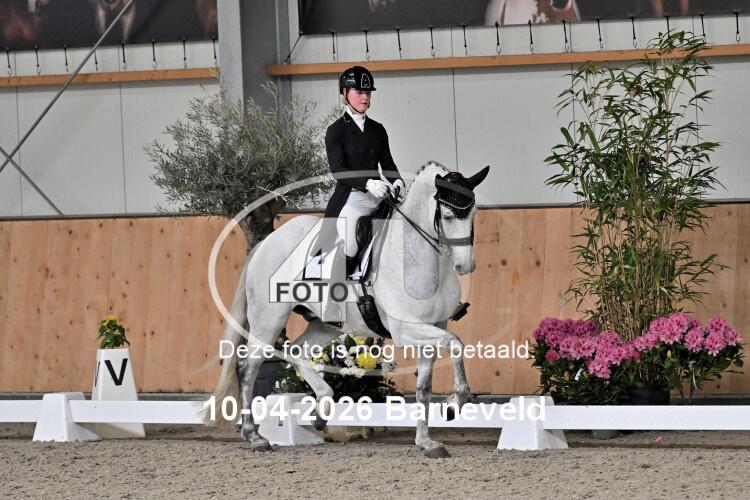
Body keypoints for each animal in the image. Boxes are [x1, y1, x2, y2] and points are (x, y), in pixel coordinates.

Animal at [206, 161, 490, 459]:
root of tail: (267, 242)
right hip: (268, 320)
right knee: (248, 367)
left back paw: (322, 410)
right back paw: (255, 436)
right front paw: (453, 405)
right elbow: (456, 344)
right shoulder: (407, 330)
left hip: (323, 325)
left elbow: (424, 387)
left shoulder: (434, 327)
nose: (465, 266)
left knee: (295, 351)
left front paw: (427, 442)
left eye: (473, 213)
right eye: (447, 216)